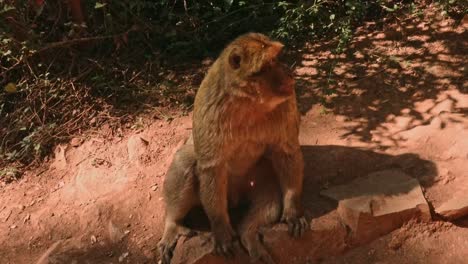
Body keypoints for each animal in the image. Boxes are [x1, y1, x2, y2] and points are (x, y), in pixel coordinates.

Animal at [157, 33, 308, 264]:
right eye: (270, 63)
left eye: (277, 59)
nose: (289, 74)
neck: (249, 101)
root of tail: (235, 198)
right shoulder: (210, 105)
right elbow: (211, 166)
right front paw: (220, 229)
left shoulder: (287, 102)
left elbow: (286, 151)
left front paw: (292, 210)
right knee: (187, 161)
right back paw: (173, 224)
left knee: (270, 197)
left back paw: (248, 233)